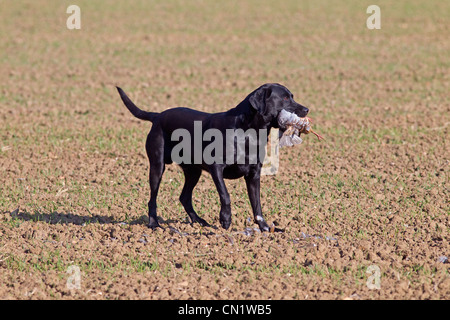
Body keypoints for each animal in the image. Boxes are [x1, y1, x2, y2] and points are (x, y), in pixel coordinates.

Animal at [115, 84, 310, 231]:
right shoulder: (216, 168)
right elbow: (225, 195)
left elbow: (257, 203)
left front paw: (264, 228)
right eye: (285, 98)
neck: (248, 132)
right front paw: (225, 219)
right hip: (157, 166)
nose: (307, 109)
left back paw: (200, 222)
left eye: (291, 96)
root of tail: (157, 116)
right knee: (153, 199)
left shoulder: (253, 175)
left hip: (193, 172)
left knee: (184, 197)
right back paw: (154, 224)